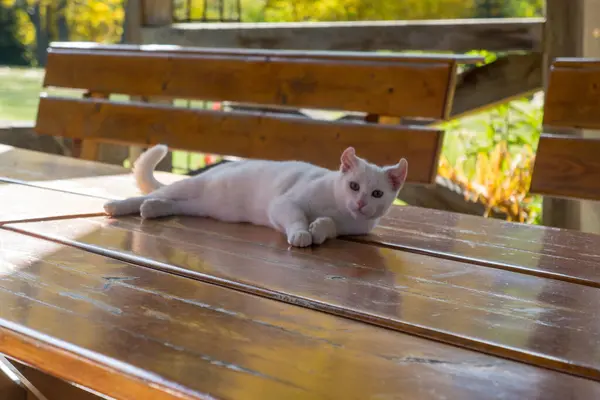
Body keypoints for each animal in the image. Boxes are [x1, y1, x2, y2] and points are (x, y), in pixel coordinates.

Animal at [104, 145, 408, 247]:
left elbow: (330, 227)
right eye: (354, 186)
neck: (338, 209)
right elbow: (297, 218)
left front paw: (320, 229)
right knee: (148, 195)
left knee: (172, 204)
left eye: (377, 193)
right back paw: (117, 206)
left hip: (200, 206)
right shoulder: (284, 204)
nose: (360, 203)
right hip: (189, 187)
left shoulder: (350, 228)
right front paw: (303, 233)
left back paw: (153, 208)